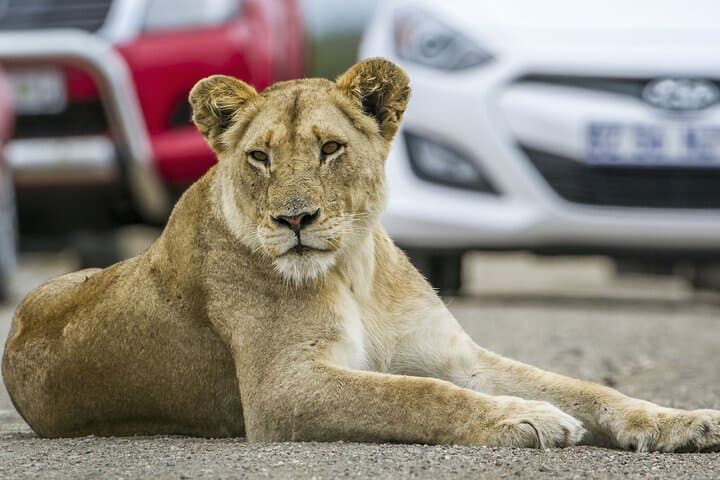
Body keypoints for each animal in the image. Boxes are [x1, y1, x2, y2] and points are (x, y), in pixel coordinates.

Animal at [3, 58, 720, 451]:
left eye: (330, 149)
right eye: (259, 157)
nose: (294, 219)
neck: (353, 268)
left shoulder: (456, 356)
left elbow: (586, 387)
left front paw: (682, 421)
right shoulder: (284, 390)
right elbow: (417, 397)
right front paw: (525, 418)